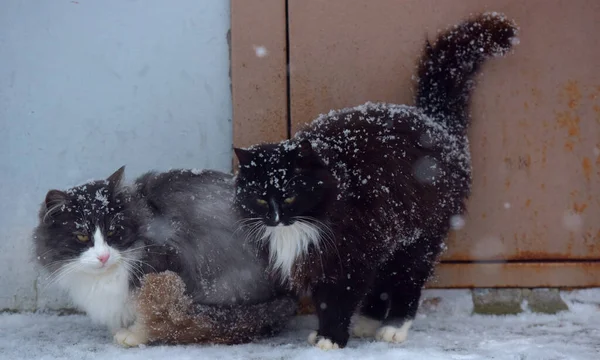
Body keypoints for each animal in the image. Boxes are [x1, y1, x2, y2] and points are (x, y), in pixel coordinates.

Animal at [33, 167, 296, 348]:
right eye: (81, 236)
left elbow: (148, 313)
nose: (103, 256)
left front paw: (133, 335)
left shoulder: (161, 269)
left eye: (113, 232)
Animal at [232, 13, 516, 348]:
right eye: (260, 198)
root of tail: (435, 121)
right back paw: (367, 322)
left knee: (406, 282)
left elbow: (336, 300)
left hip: (419, 239)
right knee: (382, 281)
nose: (273, 218)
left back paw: (394, 327)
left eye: (289, 195)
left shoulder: (348, 255)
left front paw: (331, 338)